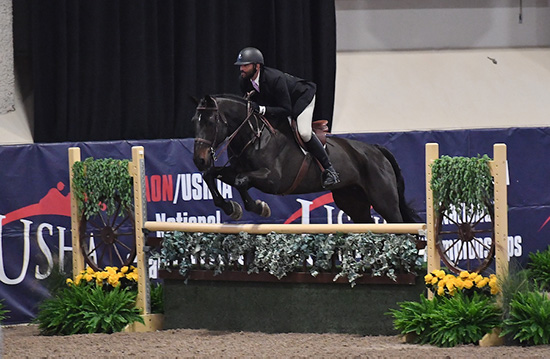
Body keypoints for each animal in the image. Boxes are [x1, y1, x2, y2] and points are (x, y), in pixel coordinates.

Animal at [191, 95, 418, 225]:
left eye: (211, 122)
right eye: (195, 121)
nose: (199, 160)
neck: (254, 136)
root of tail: (376, 150)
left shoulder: (272, 180)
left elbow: (240, 181)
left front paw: (259, 207)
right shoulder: (235, 169)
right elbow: (211, 175)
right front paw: (230, 208)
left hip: (384, 200)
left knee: (398, 223)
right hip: (352, 200)